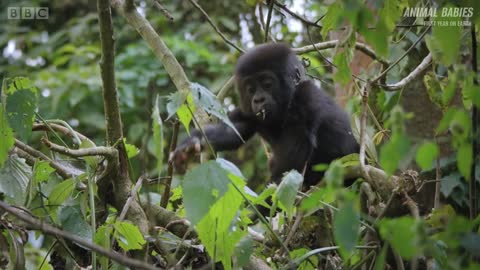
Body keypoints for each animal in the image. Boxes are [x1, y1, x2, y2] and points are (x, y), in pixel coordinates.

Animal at [171, 43, 358, 189]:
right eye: (250, 89)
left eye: (268, 84)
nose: (258, 99)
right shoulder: (249, 112)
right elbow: (233, 131)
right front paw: (190, 144)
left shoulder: (307, 96)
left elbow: (291, 164)